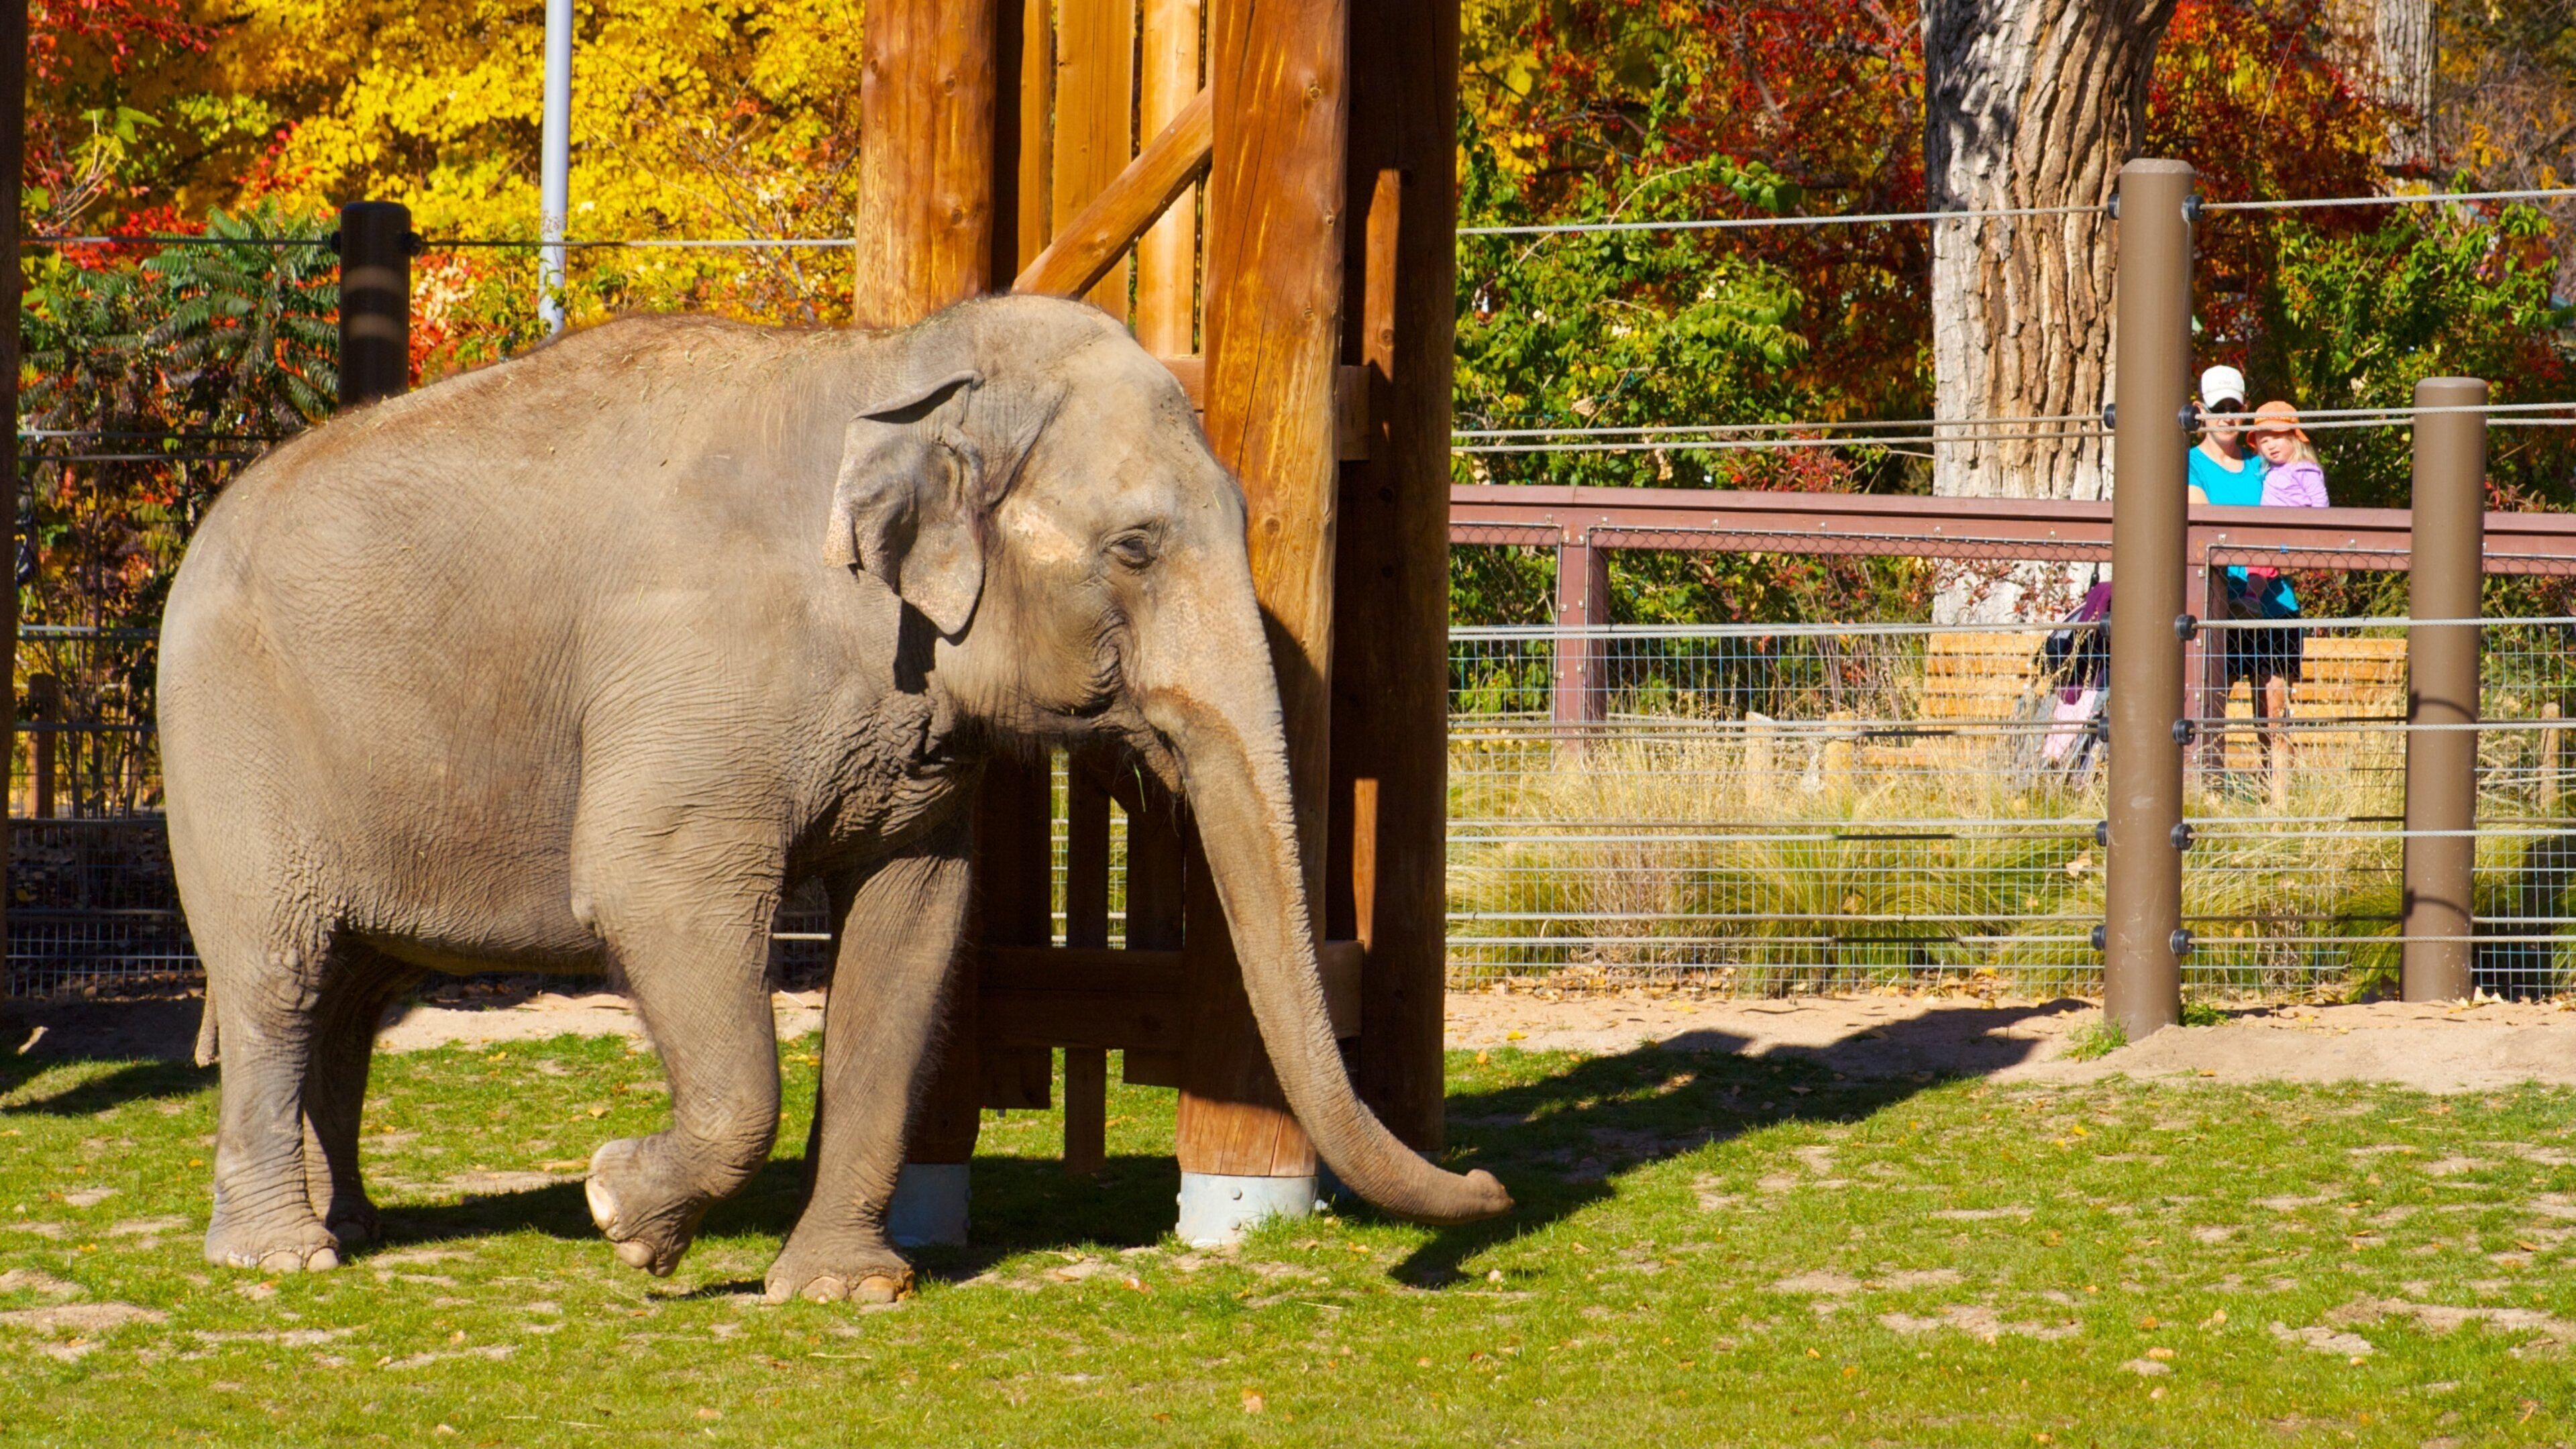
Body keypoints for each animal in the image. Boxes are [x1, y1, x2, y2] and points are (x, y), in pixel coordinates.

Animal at [159, 294, 1509, 1303]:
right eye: (1135, 548)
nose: (1493, 1192)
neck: (897, 372)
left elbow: (914, 925)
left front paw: (846, 1290)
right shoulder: (691, 687)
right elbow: (649, 891)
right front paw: (622, 1213)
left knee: (353, 993)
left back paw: (359, 1228)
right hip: (229, 742)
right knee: (280, 976)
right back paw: (282, 1259)